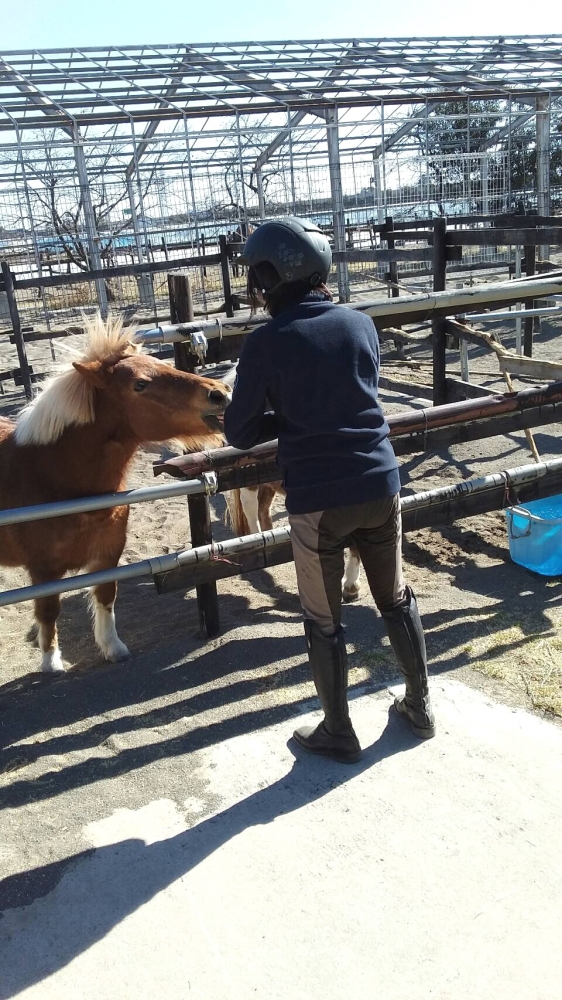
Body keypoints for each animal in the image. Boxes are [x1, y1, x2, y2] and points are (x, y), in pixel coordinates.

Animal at [0, 314, 231, 673]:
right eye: (140, 385)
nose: (220, 394)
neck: (49, 474)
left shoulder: (108, 555)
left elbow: (106, 596)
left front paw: (113, 647)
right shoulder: (44, 570)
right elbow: (49, 610)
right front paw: (51, 662)